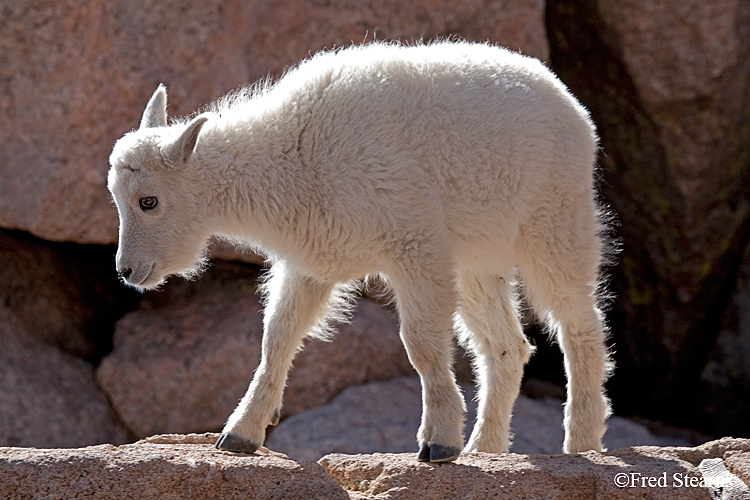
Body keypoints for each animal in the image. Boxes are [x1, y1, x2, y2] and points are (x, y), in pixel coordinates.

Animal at [111, 41, 616, 462]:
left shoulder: (415, 245)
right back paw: (485, 449)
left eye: (148, 201)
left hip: (554, 221)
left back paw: (581, 442)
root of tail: (572, 107)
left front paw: (438, 442)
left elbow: (421, 344)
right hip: (479, 259)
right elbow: (277, 339)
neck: (294, 155)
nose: (129, 271)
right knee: (507, 346)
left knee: (578, 324)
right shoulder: (311, 262)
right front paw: (240, 434)